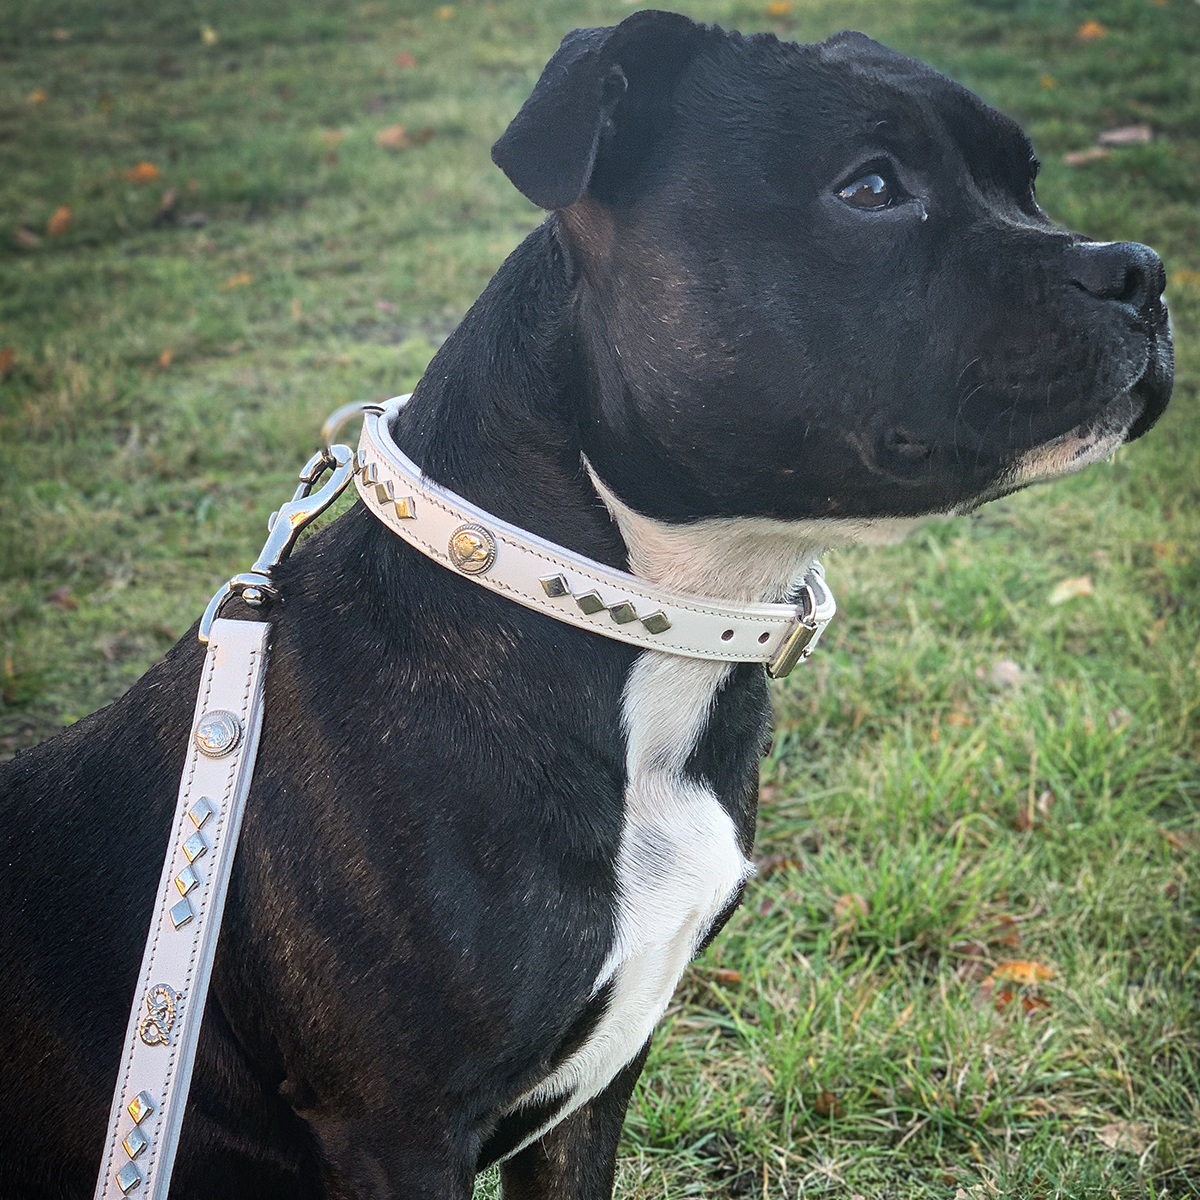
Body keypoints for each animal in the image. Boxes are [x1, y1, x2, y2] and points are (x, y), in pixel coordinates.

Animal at [0, 11, 1171, 1200]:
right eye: (873, 188)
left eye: (1029, 183)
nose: (1143, 271)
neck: (630, 625)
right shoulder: (396, 1128)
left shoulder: (595, 1087)